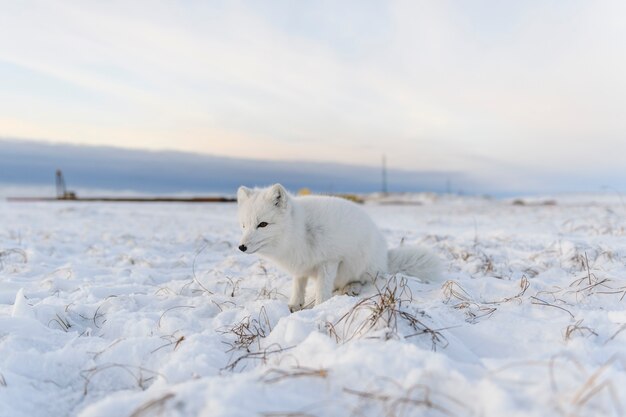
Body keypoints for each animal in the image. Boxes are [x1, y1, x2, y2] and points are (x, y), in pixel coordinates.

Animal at [236, 184, 442, 310]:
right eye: (244, 225)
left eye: (262, 224)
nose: (241, 247)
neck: (300, 231)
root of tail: (386, 259)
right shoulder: (301, 266)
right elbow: (298, 286)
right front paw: (294, 305)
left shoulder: (330, 261)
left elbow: (322, 289)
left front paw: (319, 307)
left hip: (361, 265)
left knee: (362, 280)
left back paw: (351, 288)